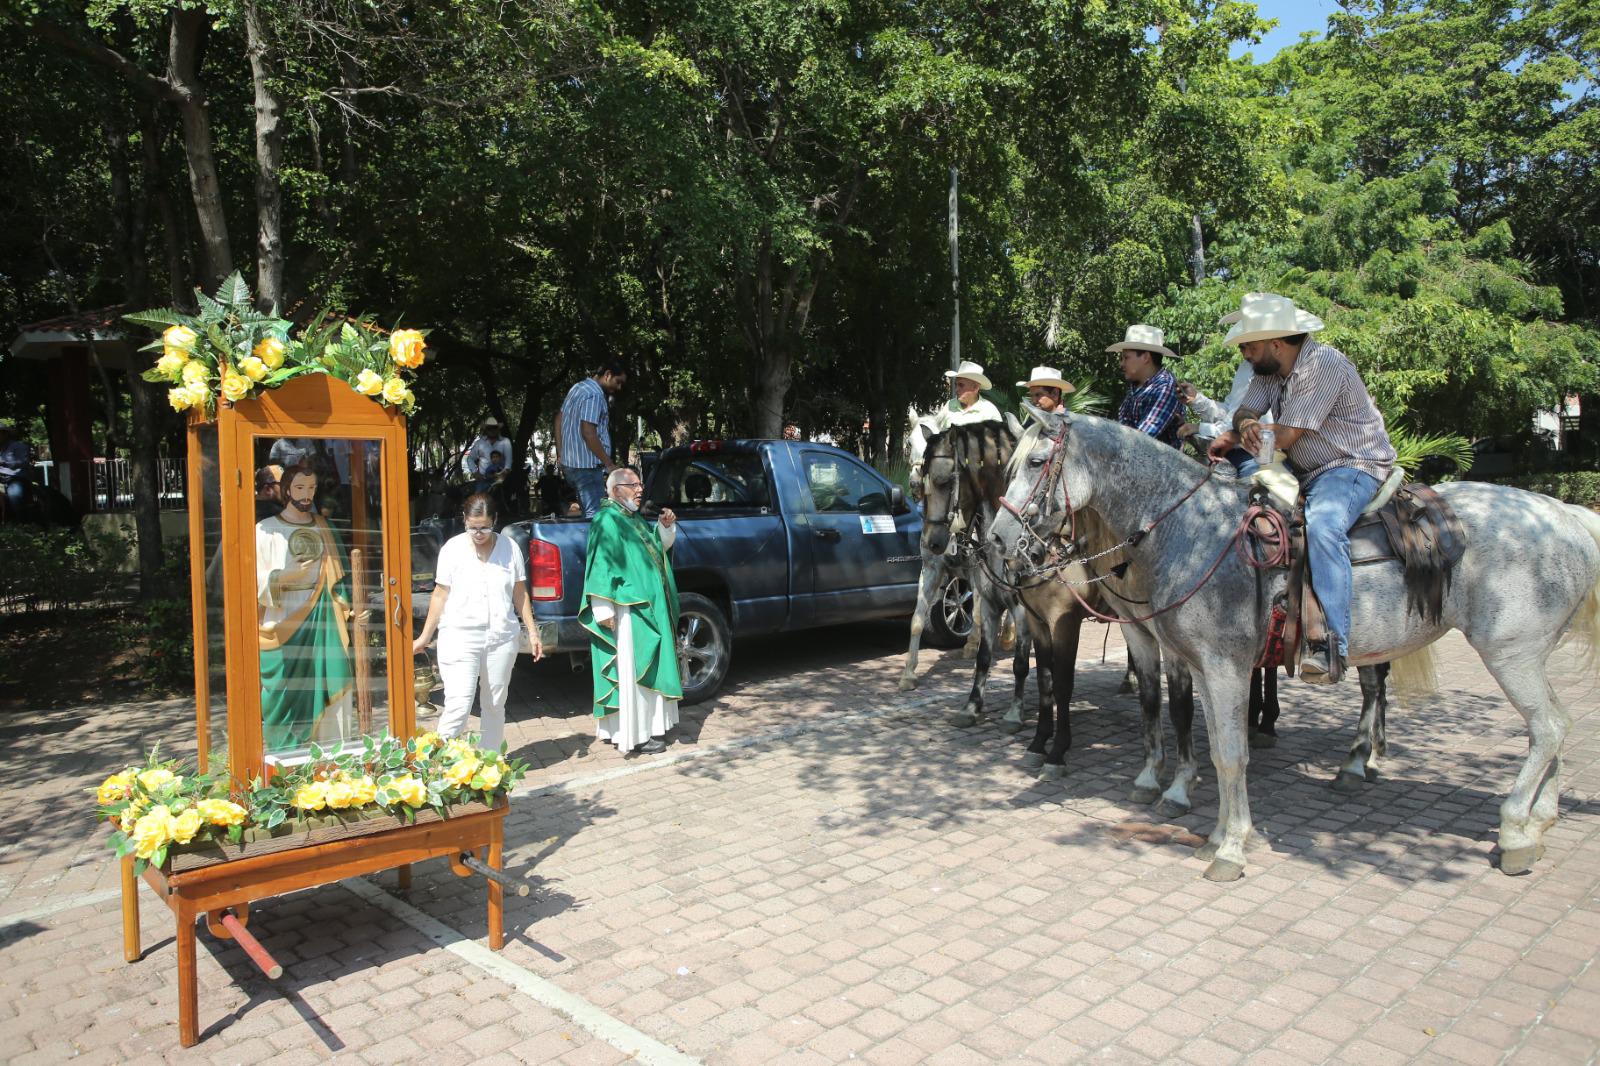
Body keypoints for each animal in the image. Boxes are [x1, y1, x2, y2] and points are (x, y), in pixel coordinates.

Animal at [985, 406, 1600, 877]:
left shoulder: (1224, 665)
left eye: (1036, 463)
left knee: (1547, 726)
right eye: (1008, 465)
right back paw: (1538, 821)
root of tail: (1567, 515)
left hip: (1510, 652)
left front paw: (1229, 847)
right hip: (1525, 655)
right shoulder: (1198, 663)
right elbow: (1204, 738)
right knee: (1555, 725)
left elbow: (1229, 753)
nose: (997, 540)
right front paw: (1212, 828)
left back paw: (1513, 829)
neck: (1193, 533)